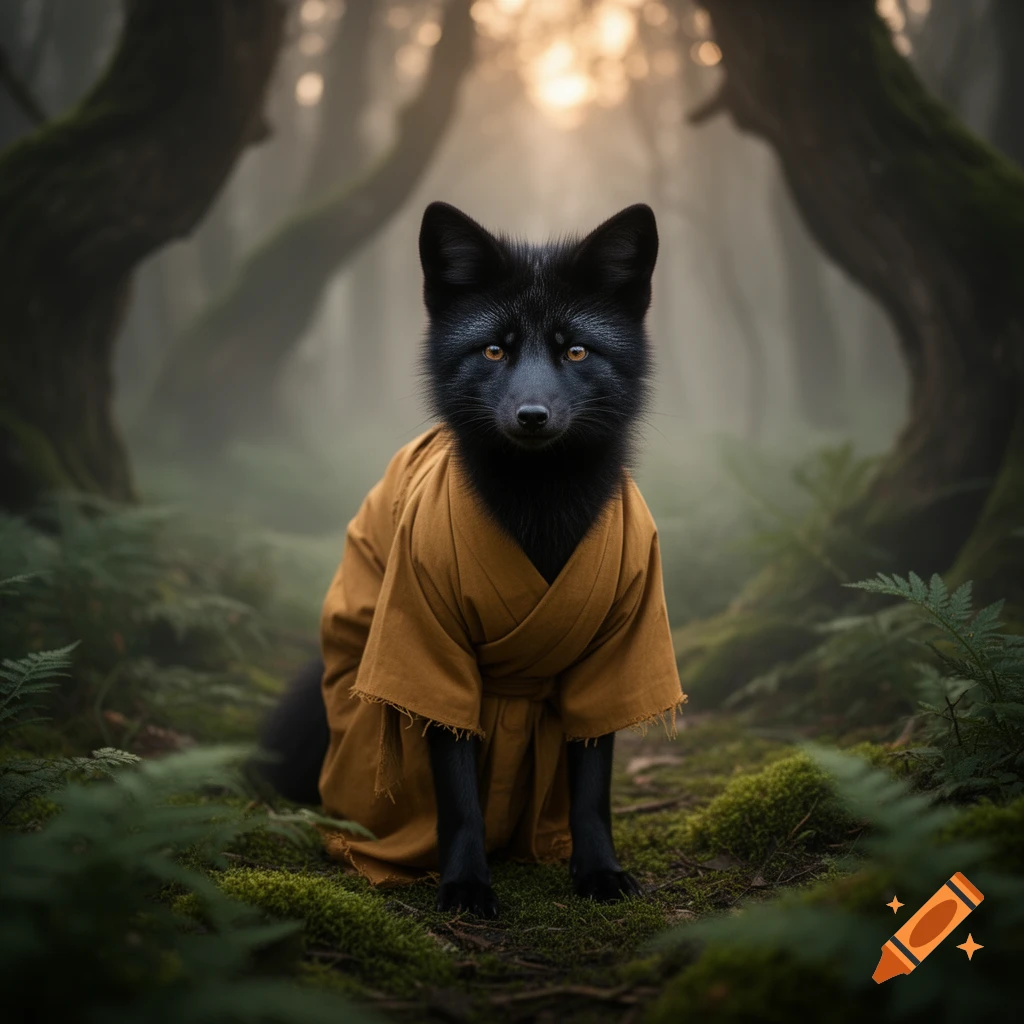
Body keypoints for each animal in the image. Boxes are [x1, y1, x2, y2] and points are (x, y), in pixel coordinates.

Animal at [256, 200, 680, 918]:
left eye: (575, 349)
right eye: (493, 349)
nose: (532, 415)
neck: (539, 510)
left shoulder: (613, 648)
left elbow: (593, 787)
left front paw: (599, 874)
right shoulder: (430, 649)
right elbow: (457, 798)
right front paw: (464, 885)